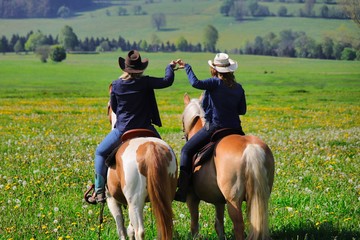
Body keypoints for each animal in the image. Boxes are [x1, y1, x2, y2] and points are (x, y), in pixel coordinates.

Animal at [181, 94, 274, 240]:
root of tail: (251, 148)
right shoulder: (219, 201)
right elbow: (219, 224)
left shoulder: (192, 198)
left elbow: (194, 223)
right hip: (260, 197)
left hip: (233, 201)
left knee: (239, 226)